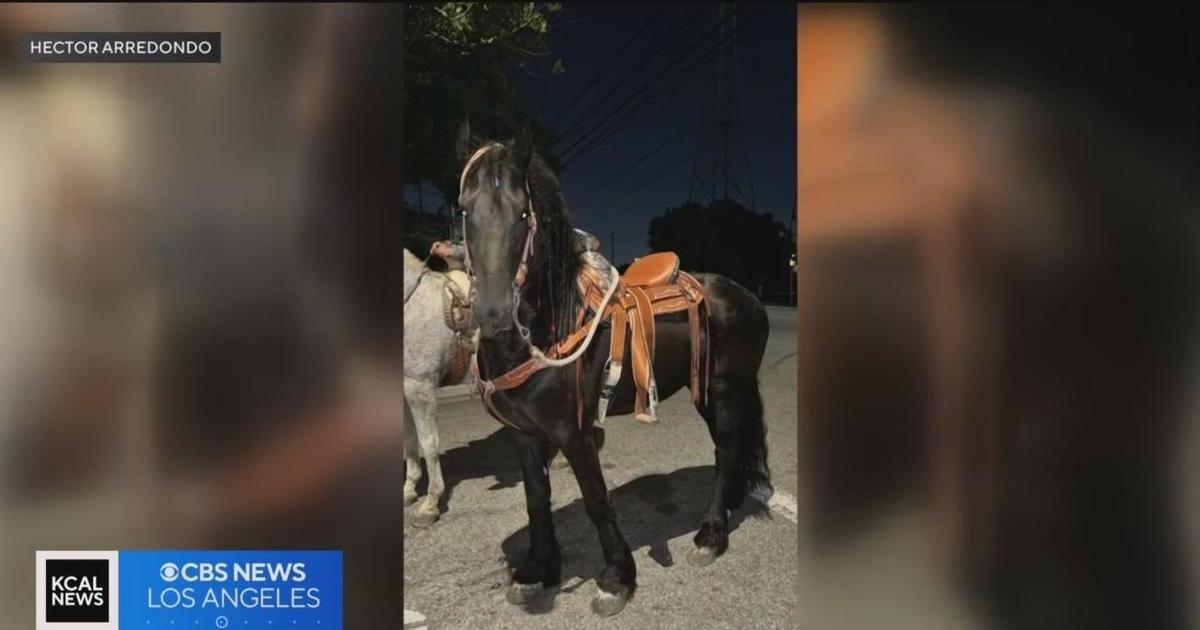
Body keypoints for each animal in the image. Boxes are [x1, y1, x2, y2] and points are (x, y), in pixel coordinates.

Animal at [453, 120, 772, 614]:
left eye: (523, 214)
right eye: (466, 211)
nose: (492, 315)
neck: (552, 322)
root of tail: (748, 296)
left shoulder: (574, 432)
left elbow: (596, 500)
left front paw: (617, 577)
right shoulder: (524, 435)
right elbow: (536, 498)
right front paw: (538, 570)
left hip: (724, 387)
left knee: (724, 451)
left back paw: (711, 534)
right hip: (706, 391)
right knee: (732, 446)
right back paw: (730, 505)